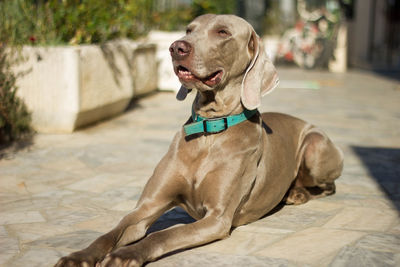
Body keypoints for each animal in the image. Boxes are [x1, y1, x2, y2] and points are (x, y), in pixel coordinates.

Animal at [55, 14, 344, 267]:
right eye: (189, 29)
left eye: (223, 32)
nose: (176, 47)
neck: (209, 132)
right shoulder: (147, 207)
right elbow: (109, 234)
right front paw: (79, 256)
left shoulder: (217, 218)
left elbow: (164, 234)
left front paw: (127, 254)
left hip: (315, 145)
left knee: (329, 186)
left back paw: (297, 192)